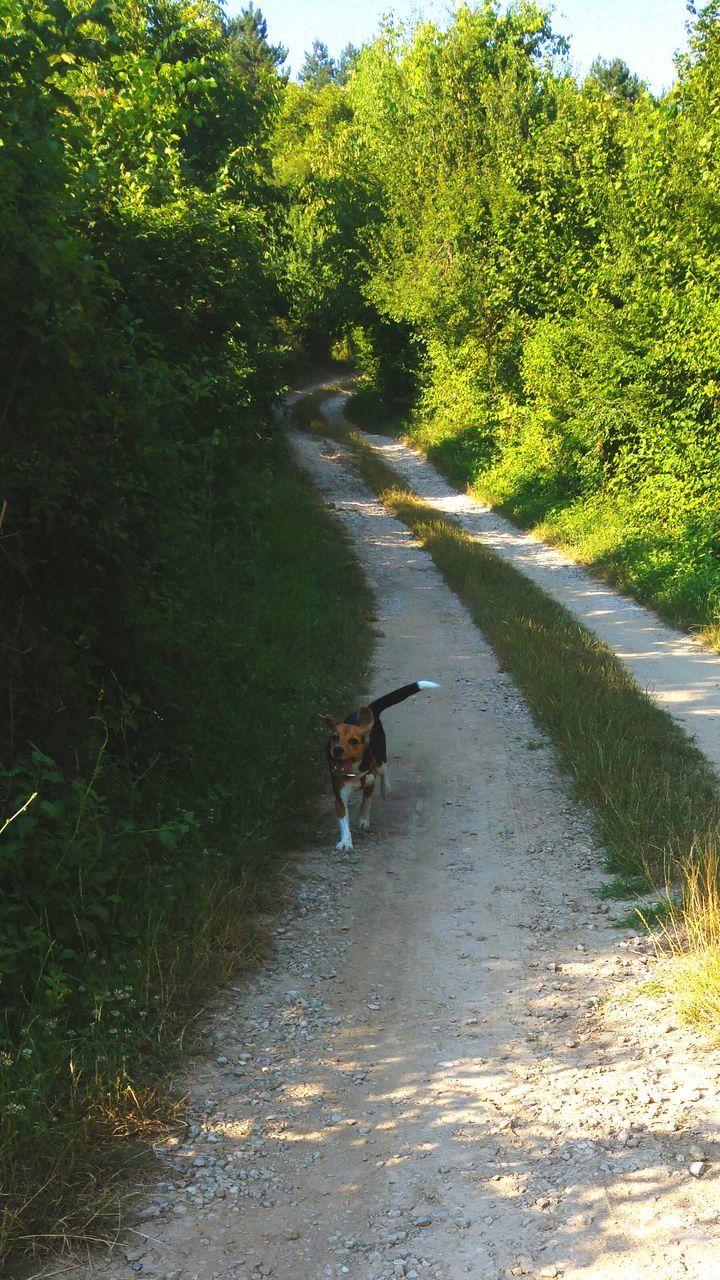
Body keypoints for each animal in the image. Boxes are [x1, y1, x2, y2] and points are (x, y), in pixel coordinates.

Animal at [320, 680, 438, 849]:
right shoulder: (340, 795)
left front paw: (363, 819)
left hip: (381, 756)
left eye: (353, 741)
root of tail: (371, 709)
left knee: (385, 770)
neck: (354, 770)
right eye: (334, 737)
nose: (337, 750)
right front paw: (346, 842)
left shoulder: (370, 782)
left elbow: (366, 802)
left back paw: (386, 789)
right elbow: (343, 820)